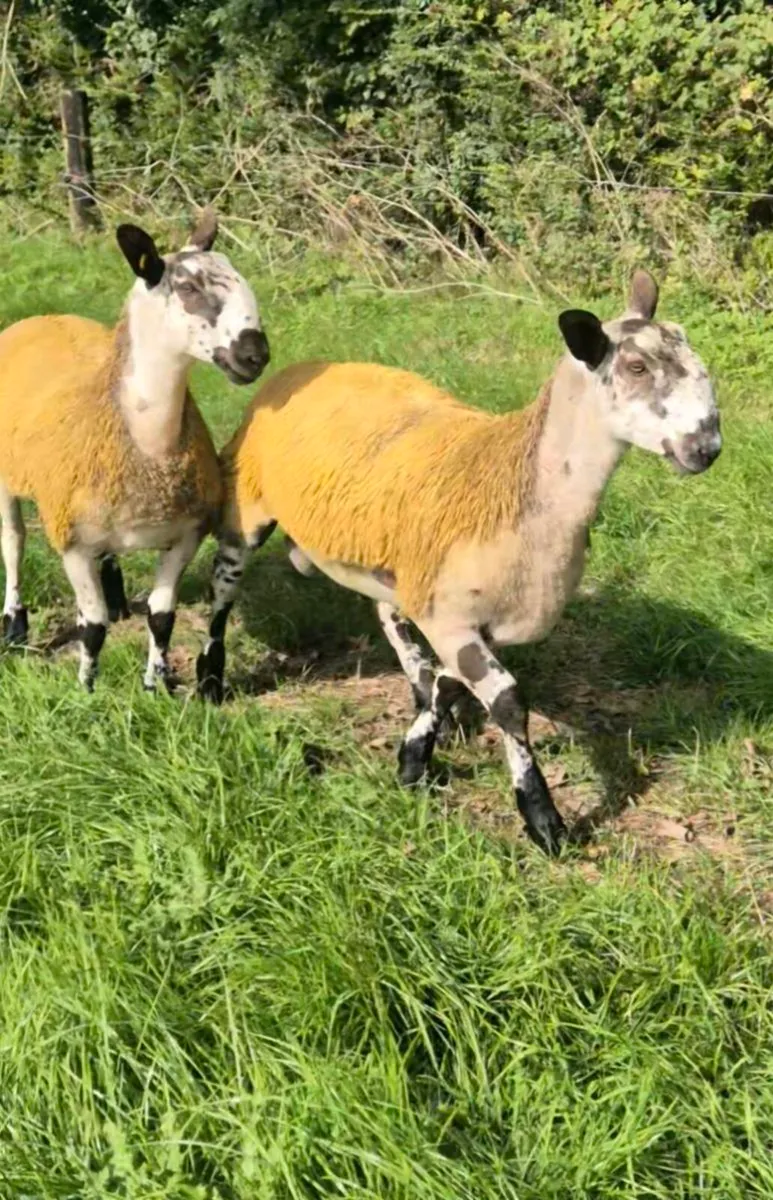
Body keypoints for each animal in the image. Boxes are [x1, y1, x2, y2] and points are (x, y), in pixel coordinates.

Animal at [0, 209, 269, 691]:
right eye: (188, 288)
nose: (256, 354)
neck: (148, 445)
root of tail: (43, 316)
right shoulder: (71, 541)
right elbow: (92, 627)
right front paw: (87, 690)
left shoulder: (186, 536)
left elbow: (162, 618)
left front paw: (156, 684)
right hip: (6, 475)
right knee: (13, 542)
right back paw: (14, 625)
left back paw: (116, 596)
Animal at [196, 269, 721, 855]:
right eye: (636, 368)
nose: (707, 447)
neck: (517, 484)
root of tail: (303, 365)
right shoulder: (451, 615)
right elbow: (510, 703)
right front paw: (543, 821)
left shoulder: (468, 617)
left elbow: (449, 685)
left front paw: (413, 759)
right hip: (249, 500)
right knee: (223, 589)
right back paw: (209, 681)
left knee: (388, 617)